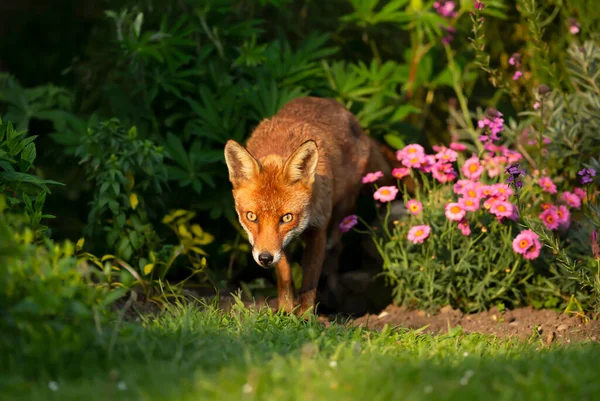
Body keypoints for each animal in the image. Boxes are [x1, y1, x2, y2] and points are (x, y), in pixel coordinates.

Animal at [225, 96, 398, 312]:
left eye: (287, 217)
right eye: (251, 216)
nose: (265, 258)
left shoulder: (318, 230)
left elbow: (309, 282)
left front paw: (306, 316)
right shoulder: (279, 247)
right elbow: (285, 278)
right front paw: (286, 311)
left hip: (343, 211)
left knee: (335, 249)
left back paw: (333, 298)